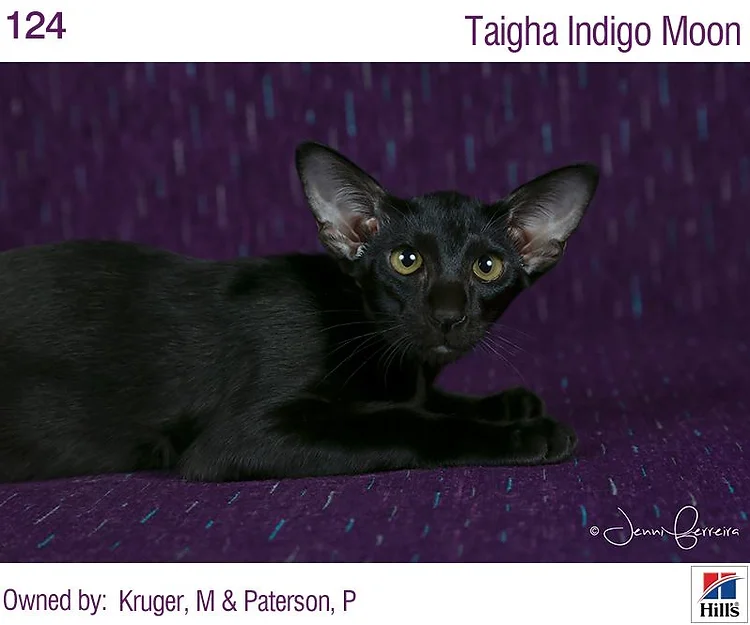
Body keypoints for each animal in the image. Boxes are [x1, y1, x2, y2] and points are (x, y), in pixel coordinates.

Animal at [0, 142, 599, 483]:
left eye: (487, 267)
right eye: (406, 260)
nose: (448, 314)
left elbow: (419, 403)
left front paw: (506, 403)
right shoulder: (242, 437)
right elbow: (403, 421)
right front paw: (526, 432)